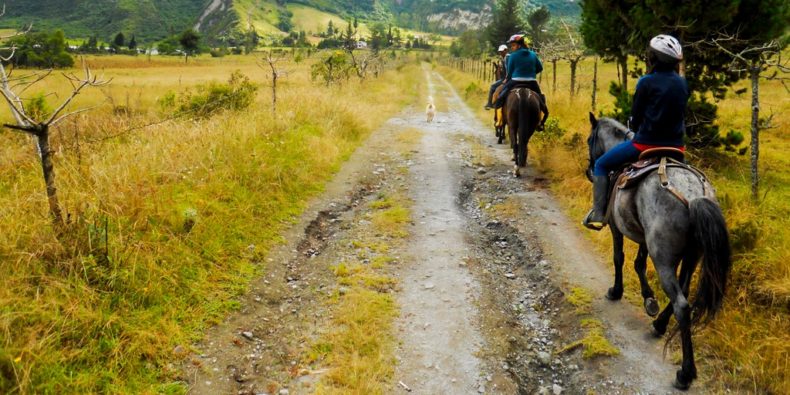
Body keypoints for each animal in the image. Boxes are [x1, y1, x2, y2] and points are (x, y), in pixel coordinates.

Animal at [592, 113, 732, 390]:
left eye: (590, 140)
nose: (589, 170)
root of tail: (694, 195)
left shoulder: (615, 226)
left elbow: (619, 258)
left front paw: (616, 291)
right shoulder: (645, 238)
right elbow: (638, 263)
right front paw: (649, 300)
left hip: (664, 258)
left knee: (681, 304)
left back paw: (685, 373)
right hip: (692, 256)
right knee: (684, 292)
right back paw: (659, 323)